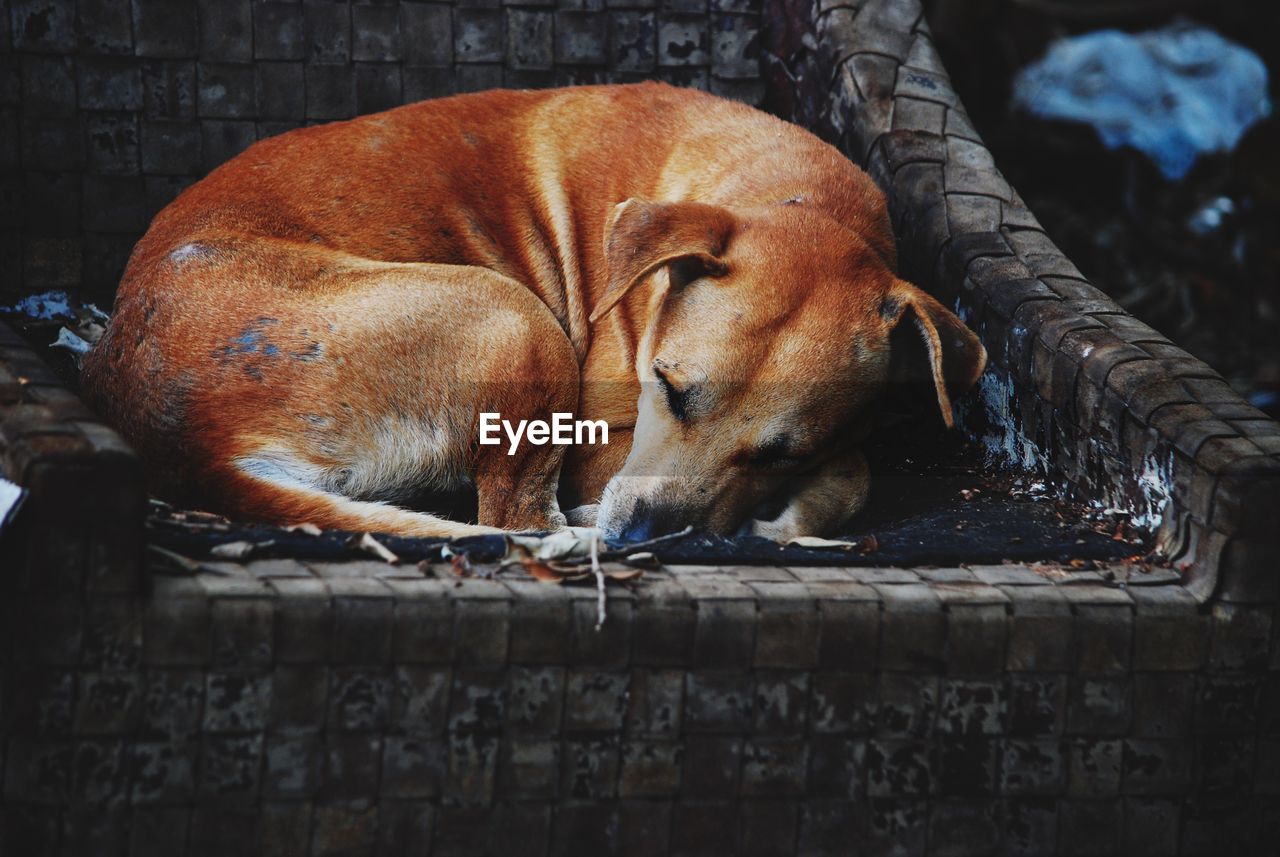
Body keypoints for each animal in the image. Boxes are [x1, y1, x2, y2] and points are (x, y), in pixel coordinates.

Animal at [80, 85, 983, 544]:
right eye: (668, 385)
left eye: (780, 450)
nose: (642, 536)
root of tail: (192, 448)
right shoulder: (597, 442)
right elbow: (857, 469)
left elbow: (846, 463)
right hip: (513, 319)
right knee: (515, 520)